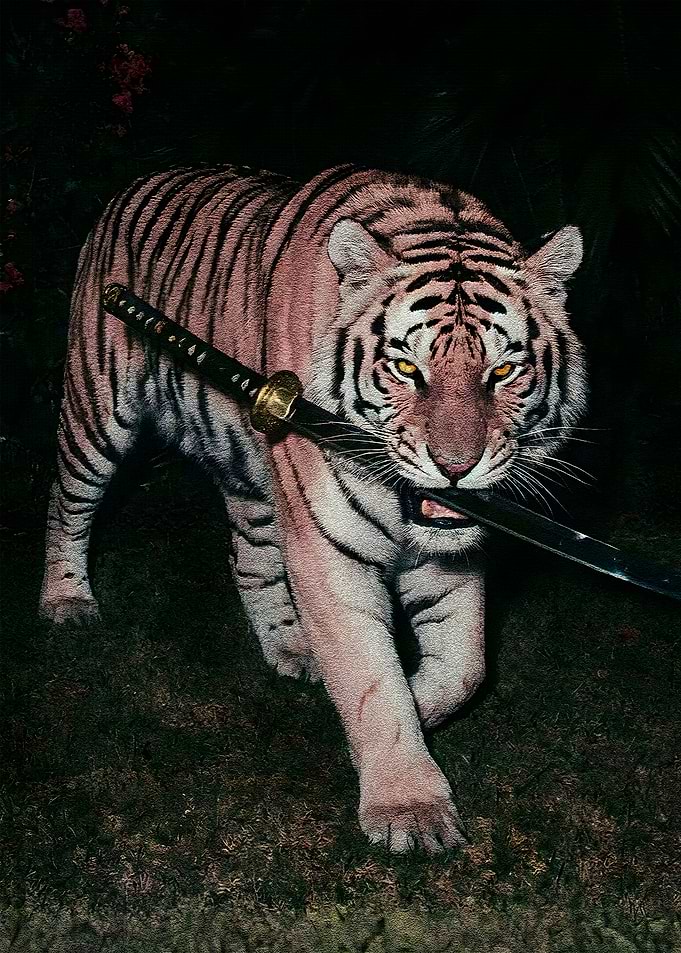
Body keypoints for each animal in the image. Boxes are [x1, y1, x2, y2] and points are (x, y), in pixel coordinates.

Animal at [39, 163, 587, 853]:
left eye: (505, 370)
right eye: (405, 367)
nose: (455, 467)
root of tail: (137, 182)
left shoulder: (447, 561)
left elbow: (465, 667)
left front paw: (405, 713)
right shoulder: (330, 555)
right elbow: (372, 676)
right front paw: (409, 807)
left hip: (252, 484)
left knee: (249, 558)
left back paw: (292, 648)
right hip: (96, 413)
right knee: (67, 505)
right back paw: (65, 600)